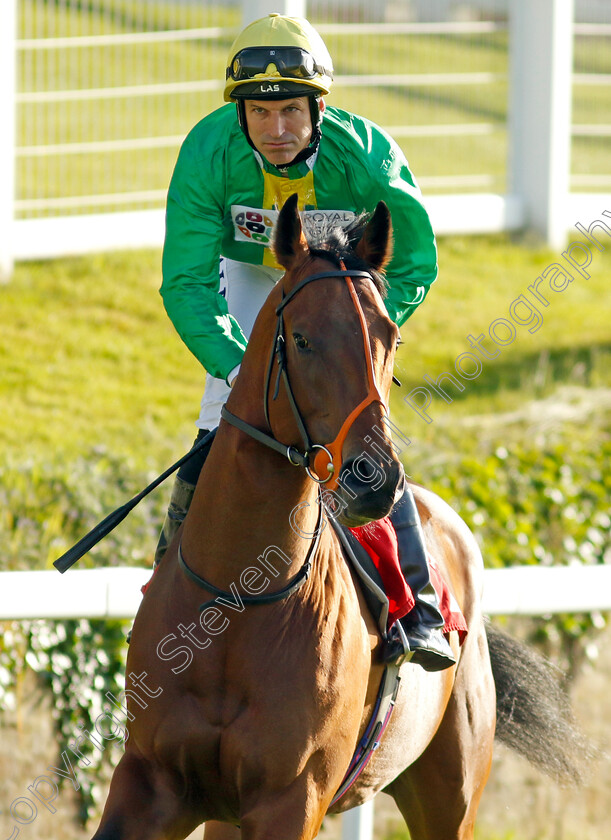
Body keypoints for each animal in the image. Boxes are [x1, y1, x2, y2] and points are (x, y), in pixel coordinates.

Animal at [93, 197, 592, 840]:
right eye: (303, 339)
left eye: (391, 337)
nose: (371, 478)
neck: (239, 599)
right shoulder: (151, 782)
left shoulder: (292, 798)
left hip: (450, 790)